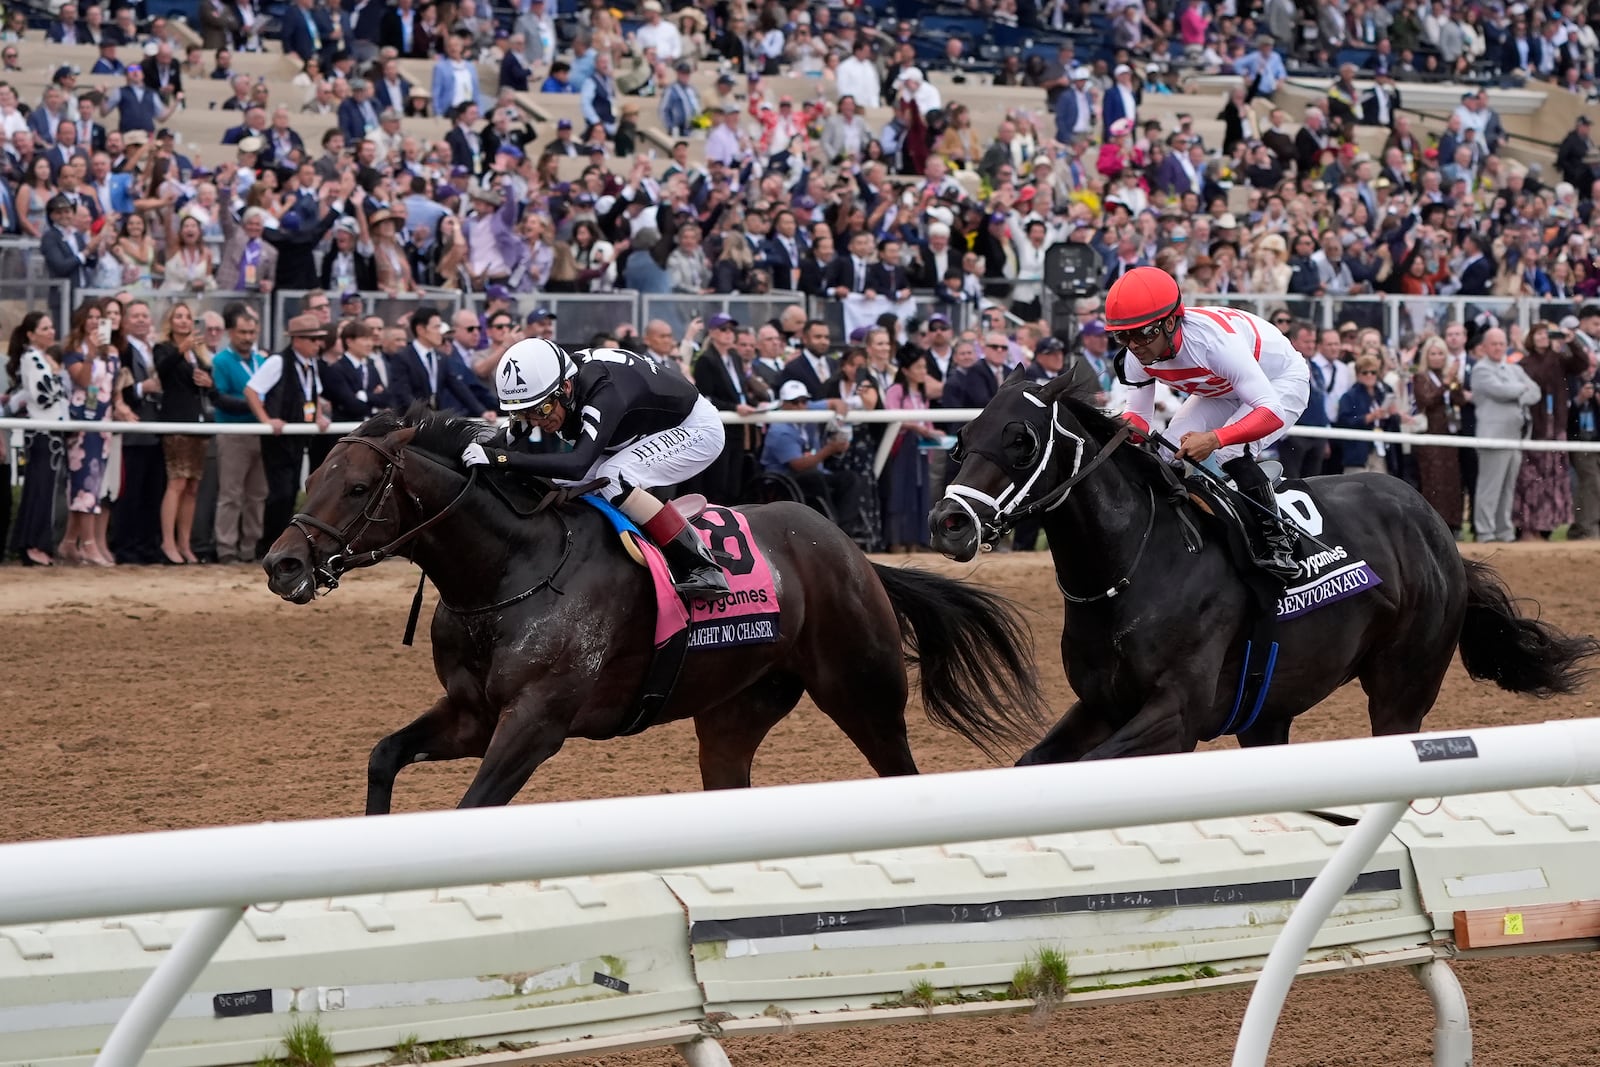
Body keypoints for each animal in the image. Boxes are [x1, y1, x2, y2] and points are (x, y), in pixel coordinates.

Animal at [260, 409, 1043, 809]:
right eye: (317, 472)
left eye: (357, 487)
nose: (281, 564)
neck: (507, 571)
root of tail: (851, 552)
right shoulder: (472, 715)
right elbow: (384, 757)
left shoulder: (536, 722)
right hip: (733, 712)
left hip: (864, 691)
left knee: (901, 771)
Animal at [928, 371, 1600, 764]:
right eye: (962, 437)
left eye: (1020, 439)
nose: (948, 522)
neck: (1131, 570)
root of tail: (1437, 528)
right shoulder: (1103, 705)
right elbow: (1032, 765)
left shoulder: (1175, 715)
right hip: (1266, 710)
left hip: (1402, 691)